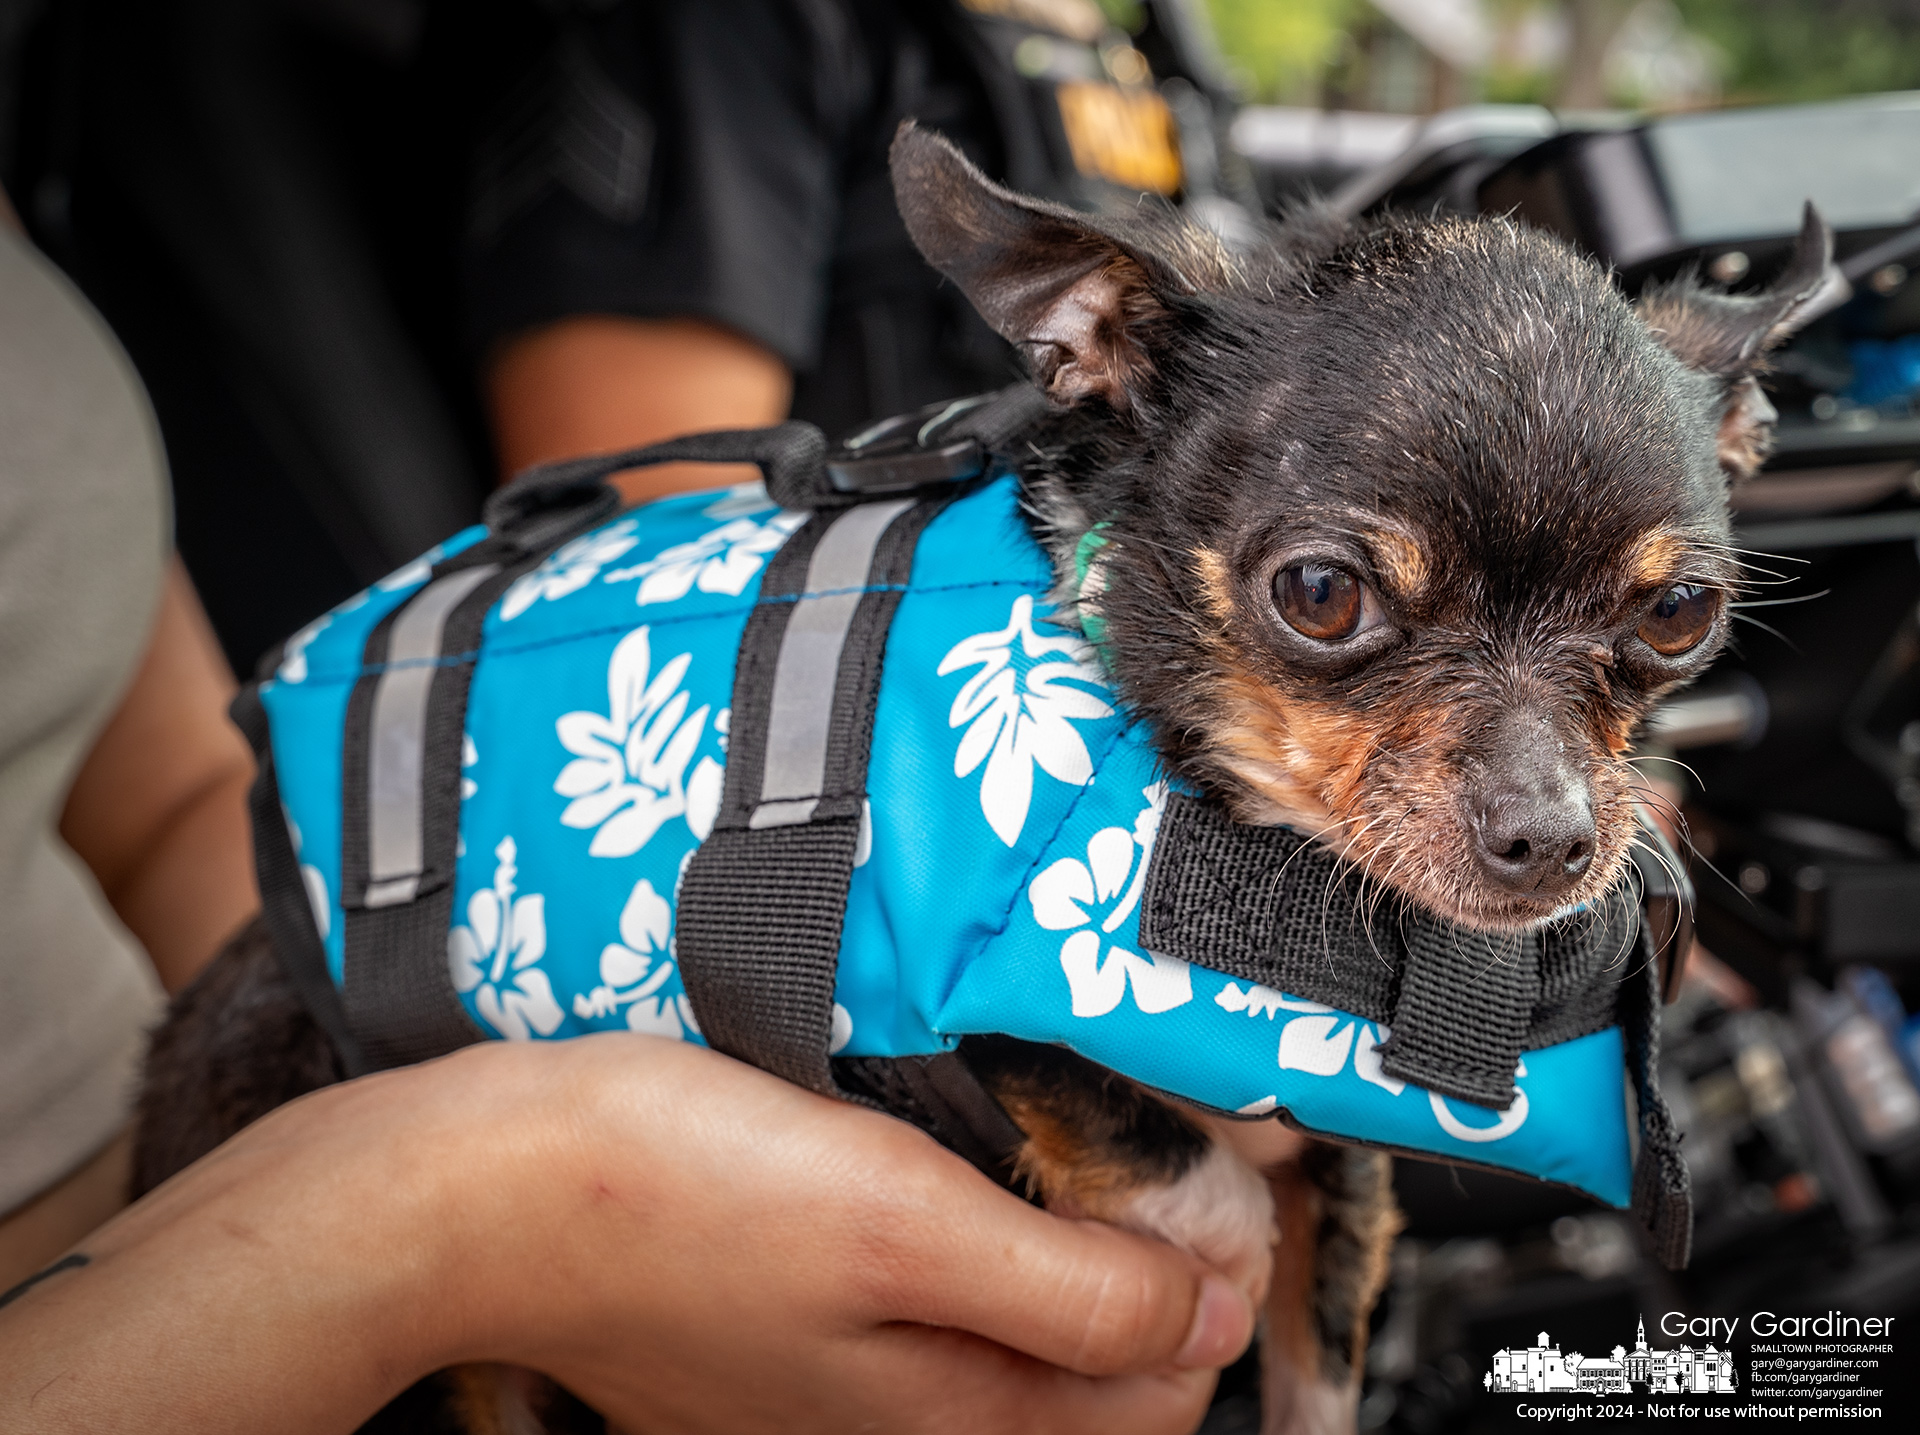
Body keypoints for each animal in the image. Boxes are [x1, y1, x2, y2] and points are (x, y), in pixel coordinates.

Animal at [139, 125, 1827, 1435]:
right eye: (1322, 594)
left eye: (1681, 616)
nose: (1550, 836)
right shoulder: (945, 1029)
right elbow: (1190, 1179)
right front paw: (1206, 1278)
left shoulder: (1341, 1163)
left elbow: (1323, 1330)